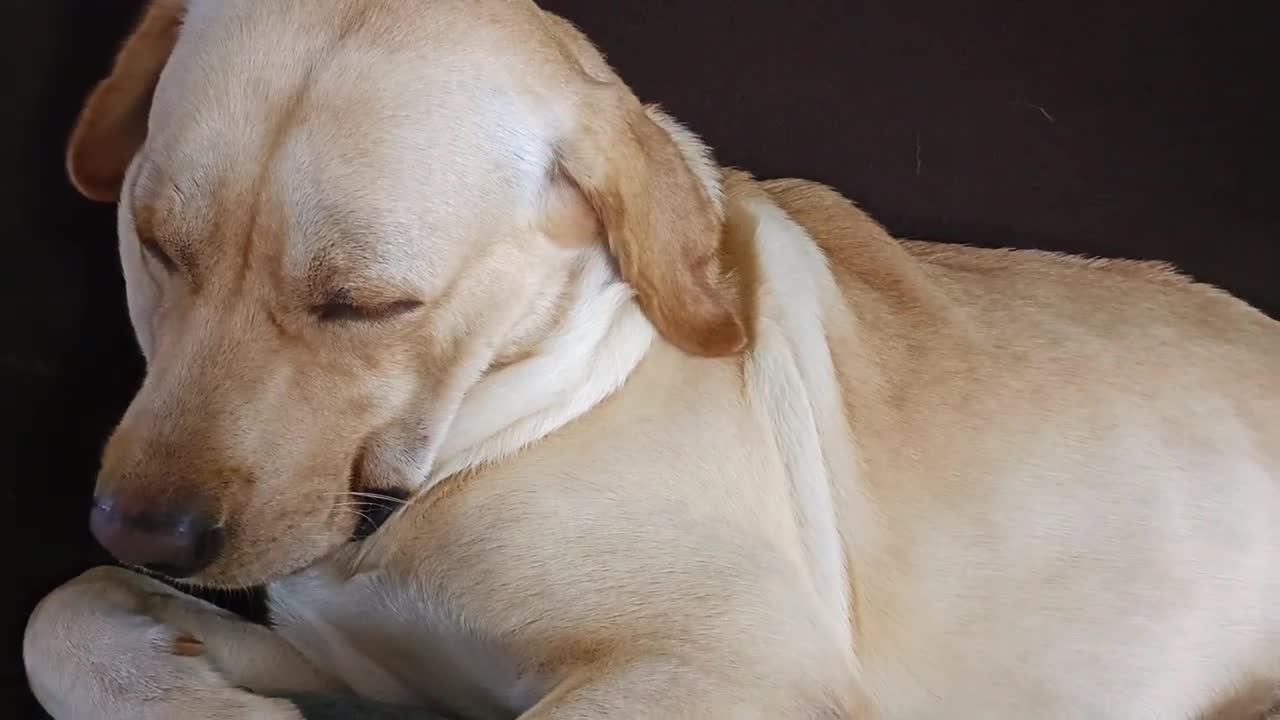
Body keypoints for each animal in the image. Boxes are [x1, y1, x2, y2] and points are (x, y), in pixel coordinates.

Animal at [20, 1, 1280, 717]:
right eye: (154, 244)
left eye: (366, 305)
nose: (142, 533)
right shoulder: (372, 665)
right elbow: (61, 611)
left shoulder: (728, 663)